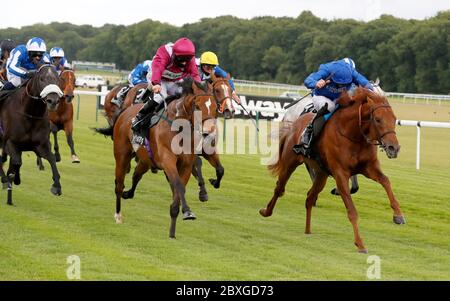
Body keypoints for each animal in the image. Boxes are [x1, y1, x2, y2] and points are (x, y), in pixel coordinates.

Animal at [0, 63, 64, 204]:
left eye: (58, 79)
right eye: (41, 79)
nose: (53, 101)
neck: (30, 113)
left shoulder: (41, 145)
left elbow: (52, 159)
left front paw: (56, 186)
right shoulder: (10, 142)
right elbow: (17, 162)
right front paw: (12, 178)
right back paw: (5, 179)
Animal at [96, 77, 218, 237]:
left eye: (215, 106)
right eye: (197, 105)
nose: (209, 131)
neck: (179, 127)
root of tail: (125, 111)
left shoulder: (185, 165)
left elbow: (178, 191)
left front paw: (173, 230)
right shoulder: (168, 161)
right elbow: (179, 186)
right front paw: (187, 211)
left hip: (145, 159)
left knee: (136, 175)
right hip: (122, 155)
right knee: (119, 184)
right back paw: (118, 215)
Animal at [260, 86, 404, 251]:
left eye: (394, 119)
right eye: (378, 119)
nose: (394, 148)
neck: (353, 135)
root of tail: (294, 123)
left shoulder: (369, 168)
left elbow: (386, 181)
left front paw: (398, 215)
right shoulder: (341, 174)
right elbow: (351, 210)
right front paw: (360, 243)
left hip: (321, 174)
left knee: (309, 197)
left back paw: (308, 230)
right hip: (290, 162)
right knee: (279, 188)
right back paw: (266, 211)